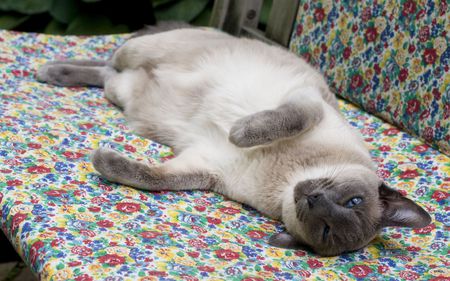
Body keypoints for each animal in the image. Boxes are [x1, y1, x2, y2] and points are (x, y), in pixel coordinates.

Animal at [36, 27, 432, 255]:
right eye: (354, 200)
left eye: (326, 229)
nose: (312, 198)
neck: (286, 178)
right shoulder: (308, 103)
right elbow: (277, 123)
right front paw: (239, 132)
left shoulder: (204, 168)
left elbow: (149, 178)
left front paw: (102, 160)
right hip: (149, 51)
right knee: (115, 55)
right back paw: (47, 69)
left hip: (124, 91)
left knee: (107, 74)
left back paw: (53, 72)